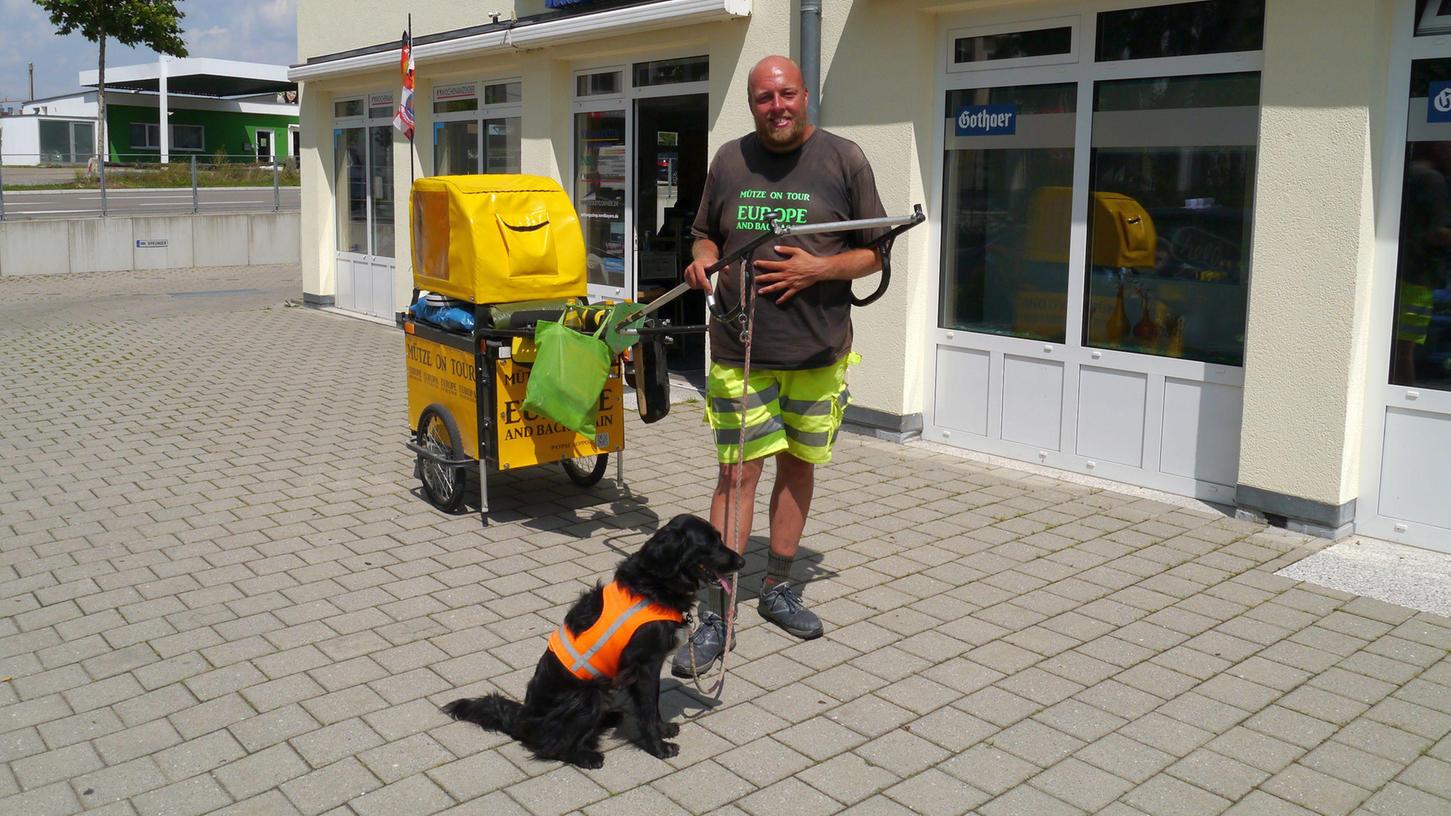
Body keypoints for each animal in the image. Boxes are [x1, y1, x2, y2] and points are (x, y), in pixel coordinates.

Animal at [441, 511, 742, 766]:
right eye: (710, 543)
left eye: (720, 537)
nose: (742, 561)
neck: (655, 585)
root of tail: (523, 718)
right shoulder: (645, 665)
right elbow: (647, 708)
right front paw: (657, 746)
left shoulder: (648, 668)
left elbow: (653, 703)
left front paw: (663, 729)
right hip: (589, 694)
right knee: (549, 746)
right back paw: (586, 756)